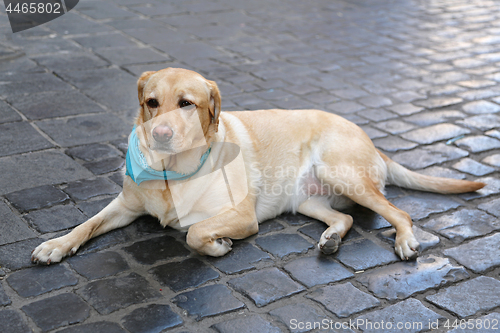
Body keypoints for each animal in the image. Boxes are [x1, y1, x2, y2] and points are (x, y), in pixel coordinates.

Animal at [30, 68, 484, 264]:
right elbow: (86, 224)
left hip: (343, 174)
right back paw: (330, 240)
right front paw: (57, 245)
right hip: (307, 200)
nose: (160, 134)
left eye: (187, 104)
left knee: (399, 212)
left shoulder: (241, 215)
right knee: (346, 220)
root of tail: (368, 138)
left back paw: (405, 241)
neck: (171, 172)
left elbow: (194, 233)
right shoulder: (124, 205)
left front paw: (217, 245)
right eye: (151, 102)